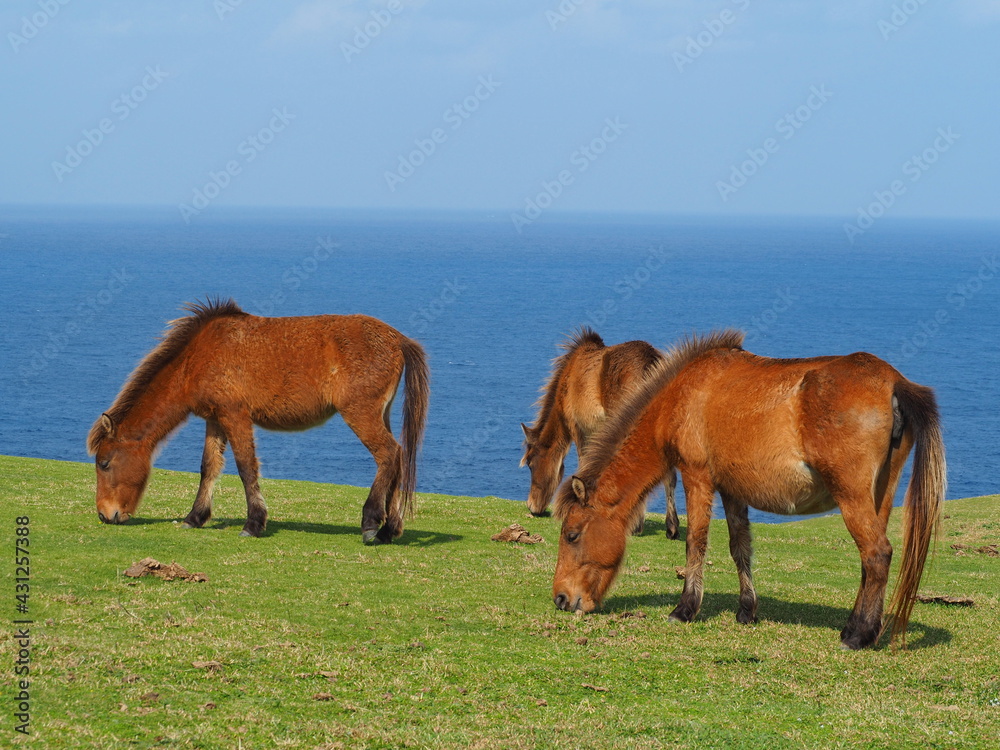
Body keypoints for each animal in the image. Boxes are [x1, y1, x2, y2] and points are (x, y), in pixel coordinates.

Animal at [87, 299, 429, 544]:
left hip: (360, 414)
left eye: (104, 463)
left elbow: (245, 467)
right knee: (398, 459)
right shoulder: (215, 420)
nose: (104, 514)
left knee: (388, 455)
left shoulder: (235, 416)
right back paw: (389, 530)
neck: (197, 356)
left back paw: (371, 523)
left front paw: (253, 523)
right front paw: (195, 517)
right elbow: (209, 467)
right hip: (379, 414)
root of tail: (398, 339)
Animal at [552, 330, 945, 650]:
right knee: (869, 560)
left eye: (572, 535)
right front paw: (746, 610)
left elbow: (696, 541)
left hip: (853, 498)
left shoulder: (697, 477)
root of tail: (893, 383)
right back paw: (858, 626)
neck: (681, 394)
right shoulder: (732, 490)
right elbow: (740, 547)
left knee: (877, 554)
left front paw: (685, 608)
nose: (560, 598)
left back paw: (858, 635)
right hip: (881, 495)